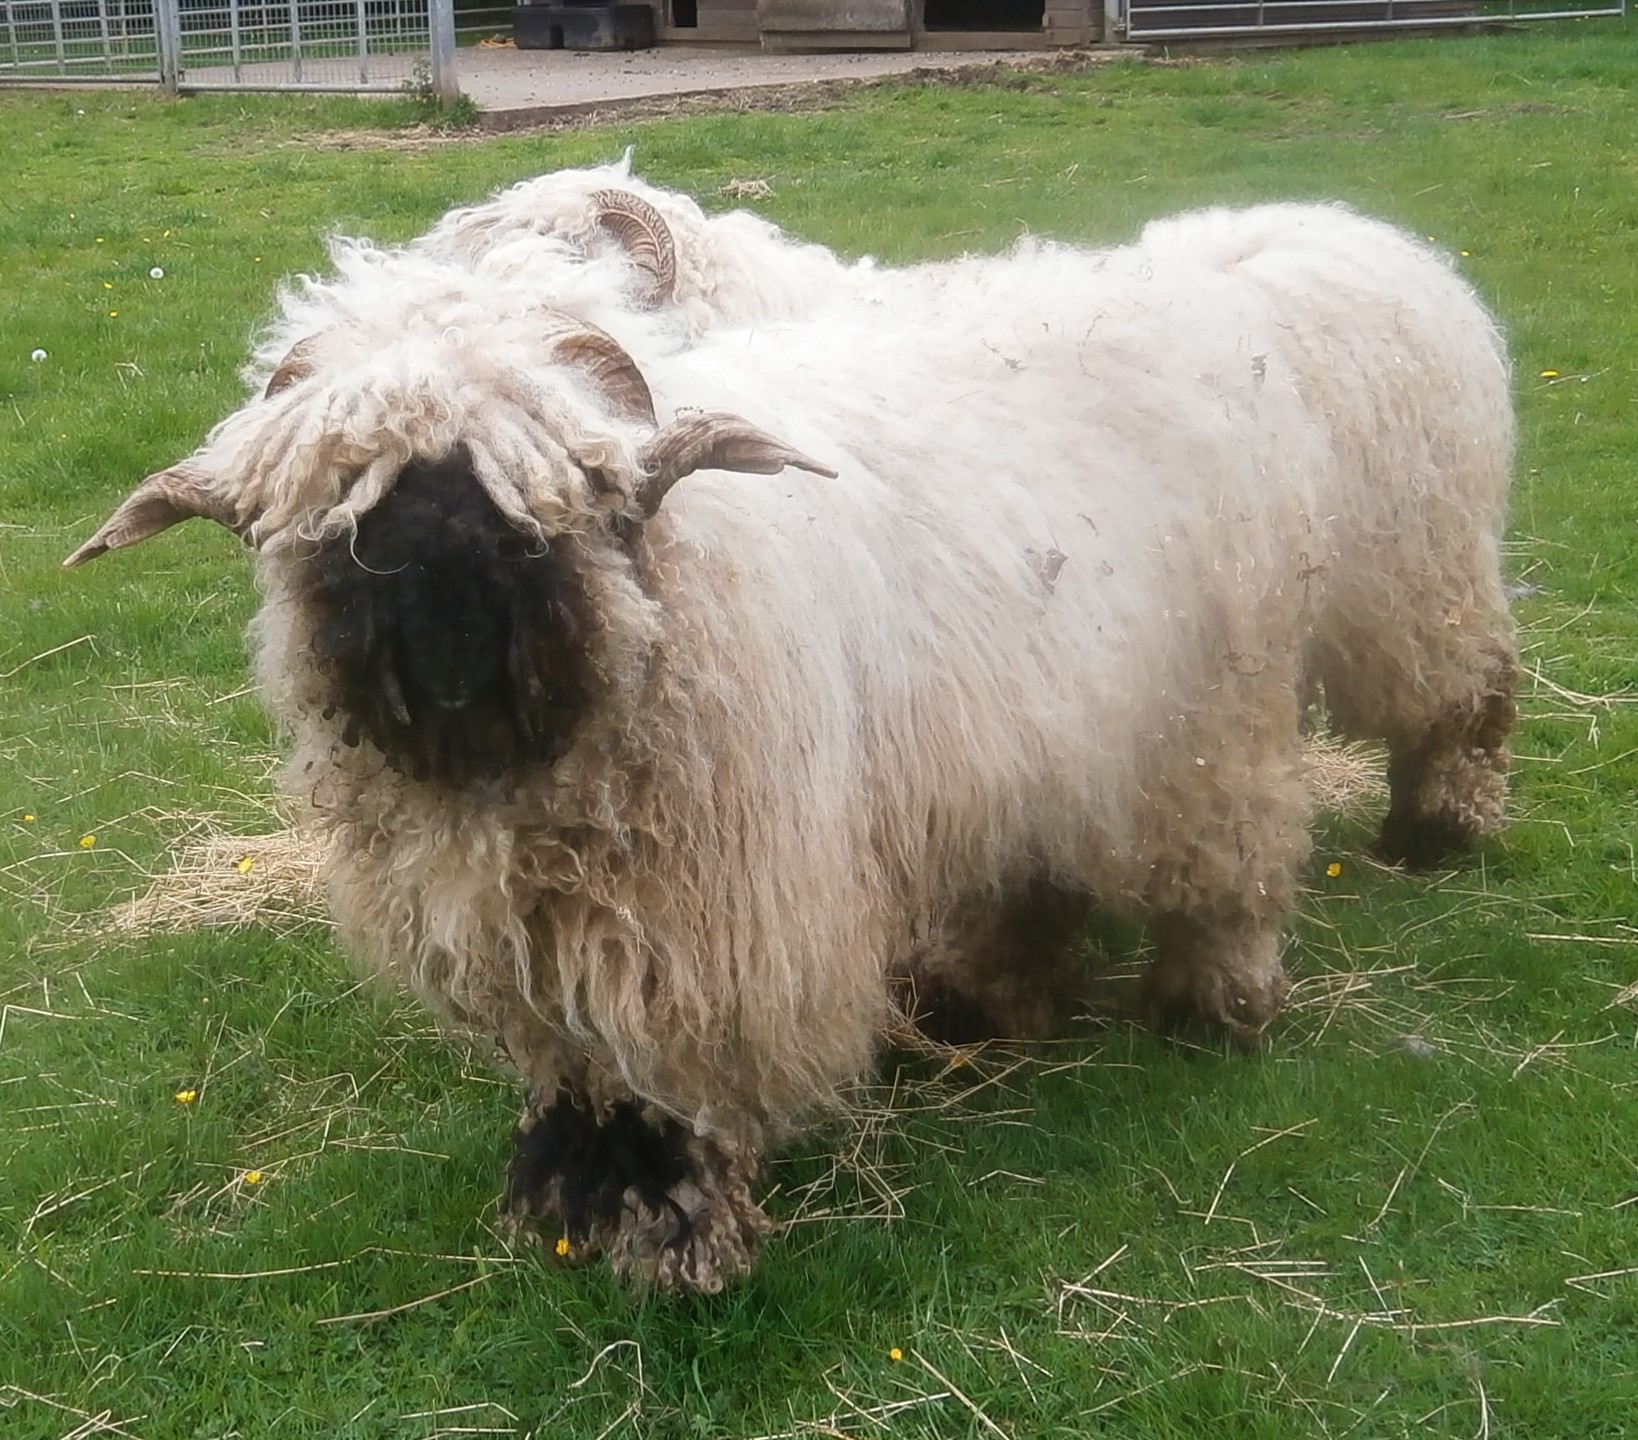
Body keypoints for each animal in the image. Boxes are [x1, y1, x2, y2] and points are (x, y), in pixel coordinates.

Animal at [65, 198, 1516, 1292]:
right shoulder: (535, 921)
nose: (439, 594)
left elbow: (667, 1083)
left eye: (566, 485)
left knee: (1312, 800)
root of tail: (1247, 260)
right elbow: (575, 1072)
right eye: (333, 500)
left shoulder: (701, 919)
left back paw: (1298, 939)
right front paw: (563, 1201)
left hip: (1227, 699)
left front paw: (671, 1235)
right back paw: (991, 1003)